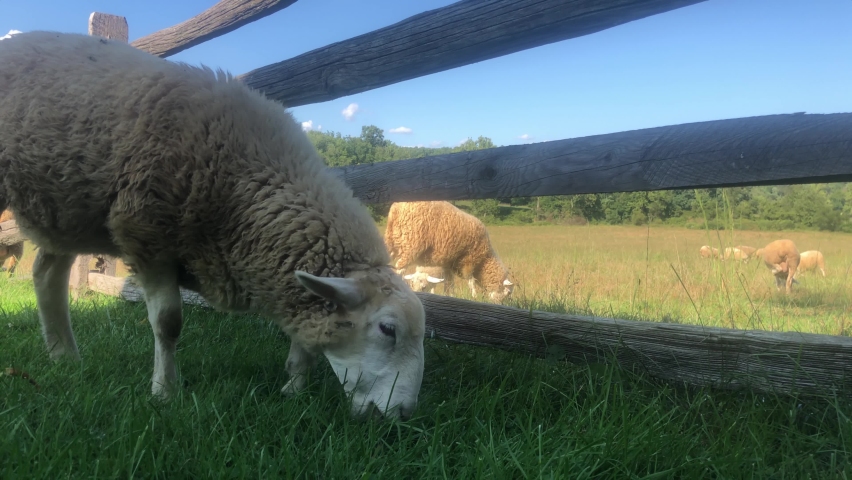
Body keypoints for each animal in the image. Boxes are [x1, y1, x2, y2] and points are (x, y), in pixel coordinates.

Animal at [0, 31, 425, 419]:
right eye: (388, 329)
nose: (404, 414)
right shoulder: (148, 235)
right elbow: (168, 323)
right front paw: (165, 391)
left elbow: (303, 340)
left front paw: (294, 386)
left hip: (63, 206)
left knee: (46, 273)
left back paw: (65, 357)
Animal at [385, 201, 513, 302]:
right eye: (508, 293)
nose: (501, 304)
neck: (484, 261)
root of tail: (397, 207)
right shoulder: (469, 261)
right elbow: (471, 282)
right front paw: (474, 296)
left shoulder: (448, 265)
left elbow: (449, 284)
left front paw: (450, 296)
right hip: (411, 245)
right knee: (399, 269)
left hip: (392, 241)